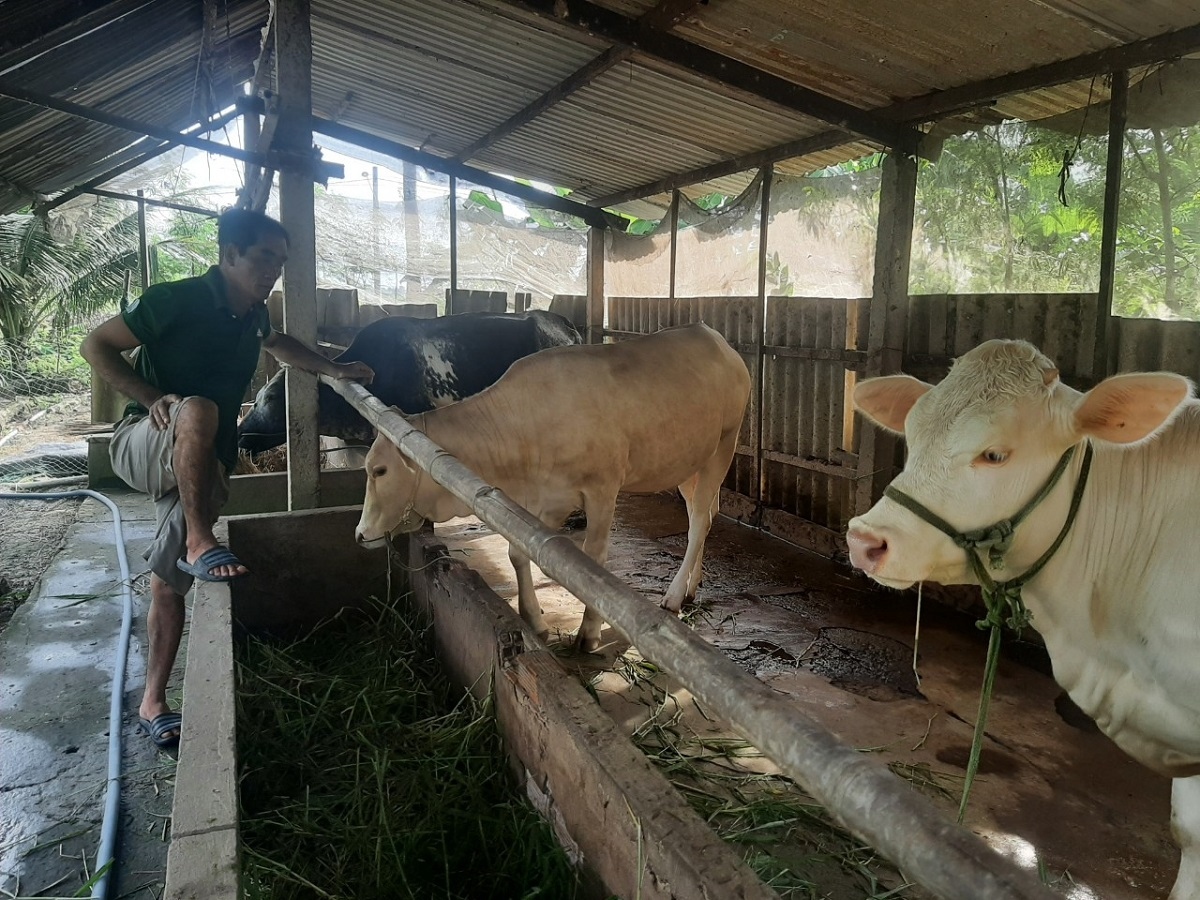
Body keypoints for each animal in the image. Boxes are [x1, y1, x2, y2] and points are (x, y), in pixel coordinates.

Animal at [355, 324, 748, 657]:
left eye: (380, 470)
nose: (360, 534)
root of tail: (715, 338)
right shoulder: (545, 500)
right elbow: (518, 553)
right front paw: (534, 620)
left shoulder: (602, 489)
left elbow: (594, 561)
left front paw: (588, 633)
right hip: (689, 463)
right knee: (703, 514)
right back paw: (693, 584)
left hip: (723, 447)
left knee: (699, 522)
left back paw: (674, 595)